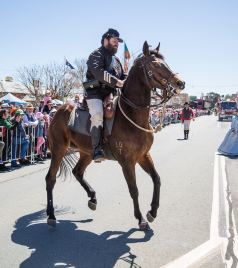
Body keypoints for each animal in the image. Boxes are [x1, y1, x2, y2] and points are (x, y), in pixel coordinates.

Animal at [45, 41, 185, 230]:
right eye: (155, 64)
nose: (180, 83)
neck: (132, 115)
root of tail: (59, 111)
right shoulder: (127, 162)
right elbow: (134, 189)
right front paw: (140, 219)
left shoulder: (143, 155)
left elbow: (157, 179)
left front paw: (152, 211)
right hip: (58, 150)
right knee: (50, 179)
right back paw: (51, 215)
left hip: (86, 152)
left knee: (77, 172)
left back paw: (92, 198)